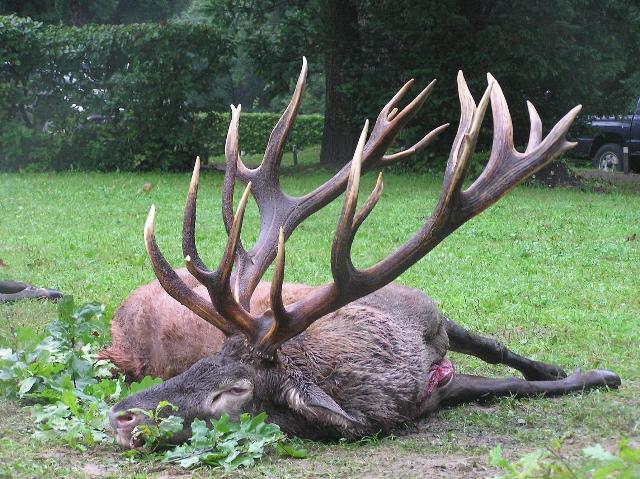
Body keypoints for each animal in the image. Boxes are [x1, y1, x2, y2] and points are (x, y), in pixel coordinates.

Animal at [103, 58, 621, 449]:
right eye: (196, 365)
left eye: (234, 392)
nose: (121, 416)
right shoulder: (429, 394)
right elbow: (505, 385)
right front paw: (587, 374)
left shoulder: (421, 304)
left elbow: (496, 349)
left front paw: (582, 371)